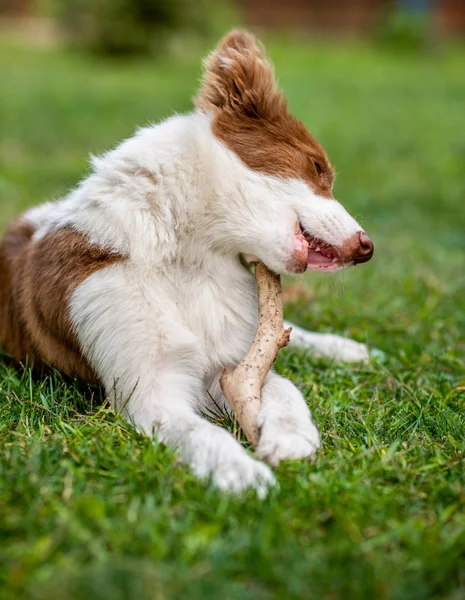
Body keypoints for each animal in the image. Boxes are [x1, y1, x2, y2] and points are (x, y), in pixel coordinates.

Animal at [0, 30, 372, 494]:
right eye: (318, 168)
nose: (368, 247)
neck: (187, 255)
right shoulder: (149, 390)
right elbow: (204, 433)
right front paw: (243, 474)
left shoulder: (229, 360)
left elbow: (284, 387)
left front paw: (291, 437)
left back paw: (346, 348)